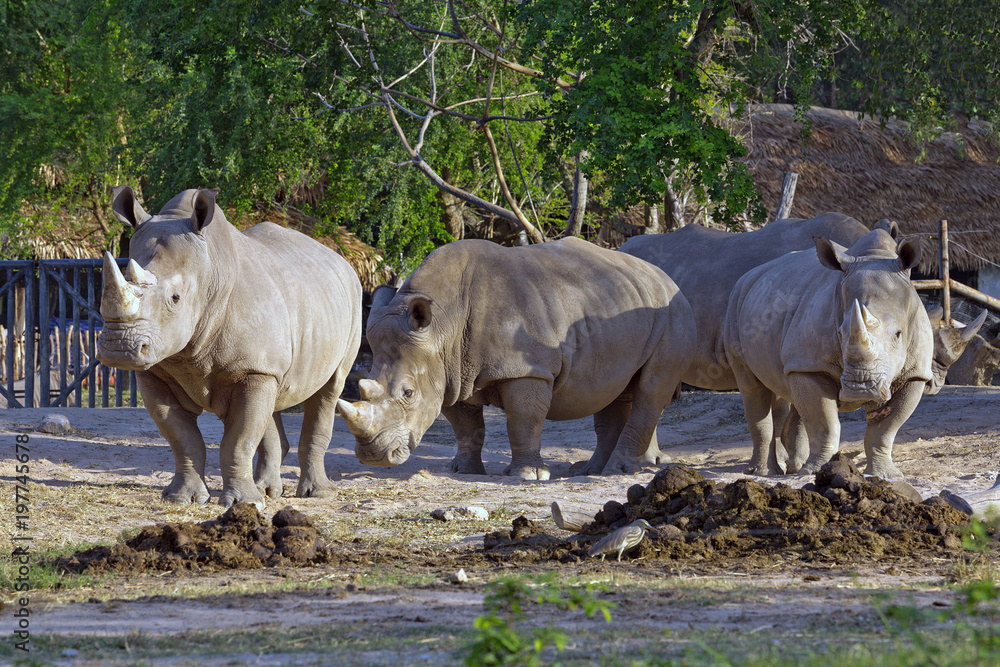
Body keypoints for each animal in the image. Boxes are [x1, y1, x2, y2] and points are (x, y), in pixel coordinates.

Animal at [97, 187, 362, 508]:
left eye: (175, 298)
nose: (118, 347)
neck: (210, 272)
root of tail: (341, 260)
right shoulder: (156, 372)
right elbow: (182, 438)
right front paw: (182, 499)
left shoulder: (253, 369)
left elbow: (238, 440)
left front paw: (243, 504)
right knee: (273, 400)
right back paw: (266, 490)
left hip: (354, 299)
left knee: (329, 389)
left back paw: (315, 494)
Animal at [337, 237, 696, 479]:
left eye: (408, 394)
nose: (374, 457)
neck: (442, 328)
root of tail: (666, 277)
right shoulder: (451, 373)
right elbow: (466, 426)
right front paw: (465, 471)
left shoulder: (526, 369)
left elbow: (523, 420)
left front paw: (529, 476)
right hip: (619, 307)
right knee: (615, 389)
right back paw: (592, 471)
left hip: (673, 311)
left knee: (651, 389)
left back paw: (617, 471)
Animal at [723, 227, 933, 480]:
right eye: (840, 333)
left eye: (898, 334)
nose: (861, 388)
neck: (875, 256)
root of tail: (748, 276)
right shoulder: (811, 364)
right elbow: (824, 424)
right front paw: (816, 472)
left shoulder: (916, 373)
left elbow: (885, 429)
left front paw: (887, 475)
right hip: (736, 304)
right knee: (753, 386)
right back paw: (765, 472)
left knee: (789, 391)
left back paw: (794, 468)